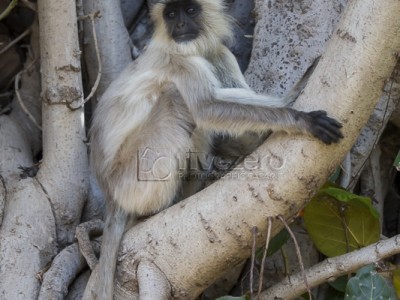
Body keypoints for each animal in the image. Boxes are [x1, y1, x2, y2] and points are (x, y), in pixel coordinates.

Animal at [90, 0, 344, 296]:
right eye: (171, 14)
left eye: (189, 11)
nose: (179, 24)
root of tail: (109, 193)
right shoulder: (179, 60)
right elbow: (207, 108)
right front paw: (300, 118)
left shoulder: (219, 53)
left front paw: (295, 93)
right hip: (130, 177)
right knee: (177, 99)